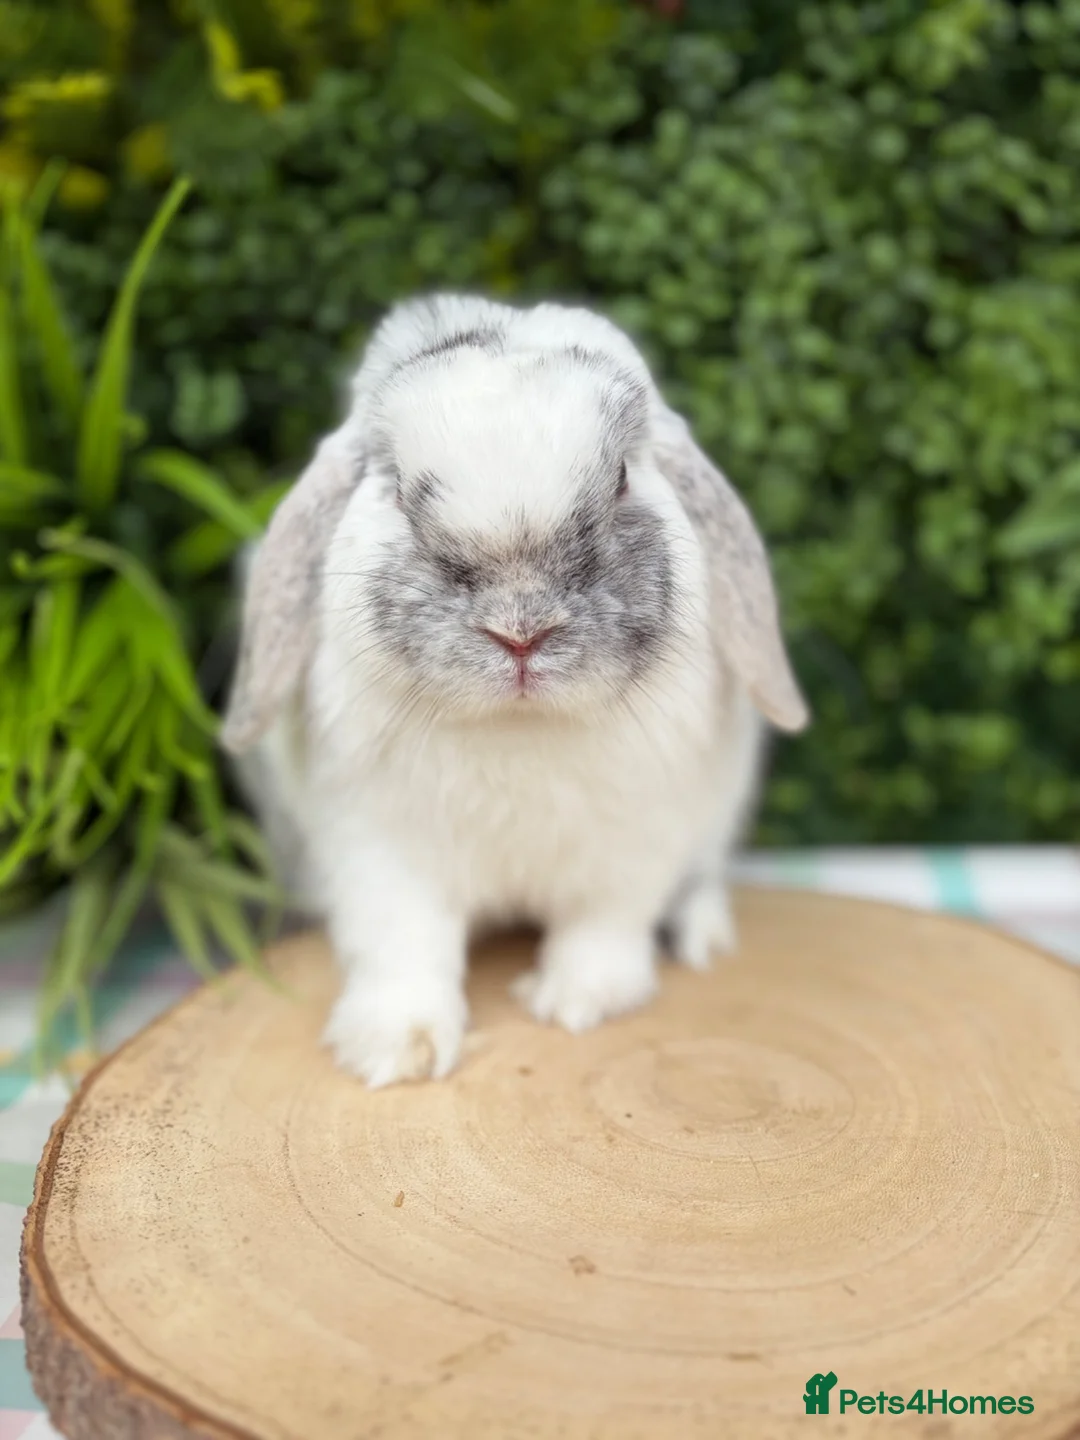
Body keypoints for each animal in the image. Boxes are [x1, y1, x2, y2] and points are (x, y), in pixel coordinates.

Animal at [221, 294, 808, 1087]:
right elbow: (402, 946)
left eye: (622, 477)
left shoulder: (634, 844)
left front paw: (575, 1003)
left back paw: (704, 937)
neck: (517, 728)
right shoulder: (379, 851)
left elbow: (603, 928)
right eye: (397, 490)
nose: (521, 632)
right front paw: (397, 1050)